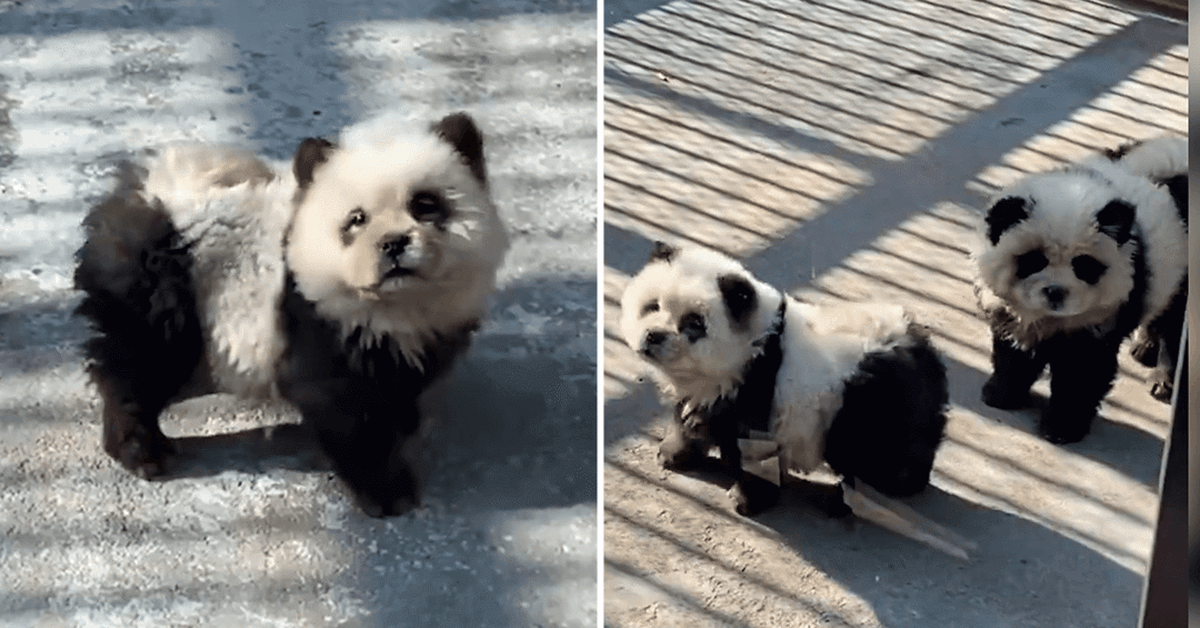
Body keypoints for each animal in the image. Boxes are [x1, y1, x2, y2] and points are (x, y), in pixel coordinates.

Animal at [75, 112, 506, 516]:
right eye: (356, 219)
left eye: (425, 205)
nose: (394, 243)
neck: (397, 304)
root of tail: (148, 191)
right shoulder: (319, 327)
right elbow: (348, 414)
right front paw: (387, 491)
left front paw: (405, 424)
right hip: (160, 289)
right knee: (138, 366)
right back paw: (141, 450)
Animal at [619, 244, 945, 516]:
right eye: (651, 306)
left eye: (693, 323)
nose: (653, 336)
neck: (755, 345)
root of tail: (925, 353)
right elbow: (692, 417)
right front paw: (674, 453)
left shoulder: (758, 389)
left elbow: (755, 449)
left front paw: (747, 500)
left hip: (869, 405)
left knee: (876, 456)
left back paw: (854, 498)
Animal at [974, 135, 1190, 444]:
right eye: (1034, 260)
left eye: (1083, 265)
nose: (1055, 292)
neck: (1052, 319)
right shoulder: (1014, 312)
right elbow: (1015, 352)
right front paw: (1000, 394)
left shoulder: (1102, 317)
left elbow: (1082, 372)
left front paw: (1061, 427)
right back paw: (1145, 347)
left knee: (1176, 324)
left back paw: (1164, 378)